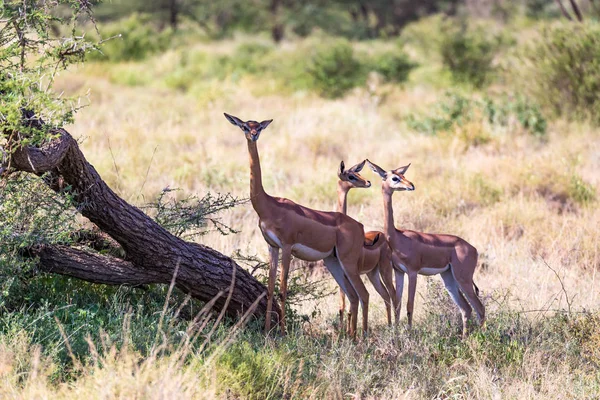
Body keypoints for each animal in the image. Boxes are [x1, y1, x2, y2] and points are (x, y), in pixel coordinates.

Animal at [225, 113, 372, 338]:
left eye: (259, 126)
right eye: (244, 126)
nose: (254, 135)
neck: (269, 205)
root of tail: (360, 226)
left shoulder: (287, 247)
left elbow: (283, 289)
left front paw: (282, 333)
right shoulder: (272, 246)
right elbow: (270, 289)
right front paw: (267, 331)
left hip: (348, 263)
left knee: (364, 294)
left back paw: (362, 338)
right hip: (333, 262)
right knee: (353, 295)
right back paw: (350, 337)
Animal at [336, 161, 396, 330]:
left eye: (358, 173)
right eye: (351, 175)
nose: (368, 182)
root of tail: (382, 235)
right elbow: (343, 305)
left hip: (384, 270)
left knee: (391, 294)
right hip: (372, 274)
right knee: (385, 295)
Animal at [366, 159, 482, 338]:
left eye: (403, 175)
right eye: (395, 177)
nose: (411, 185)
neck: (398, 237)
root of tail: (473, 249)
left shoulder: (413, 272)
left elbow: (409, 305)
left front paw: (408, 334)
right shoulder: (399, 272)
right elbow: (398, 303)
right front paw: (397, 334)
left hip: (463, 279)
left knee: (479, 308)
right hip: (449, 278)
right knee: (466, 308)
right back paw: (464, 339)